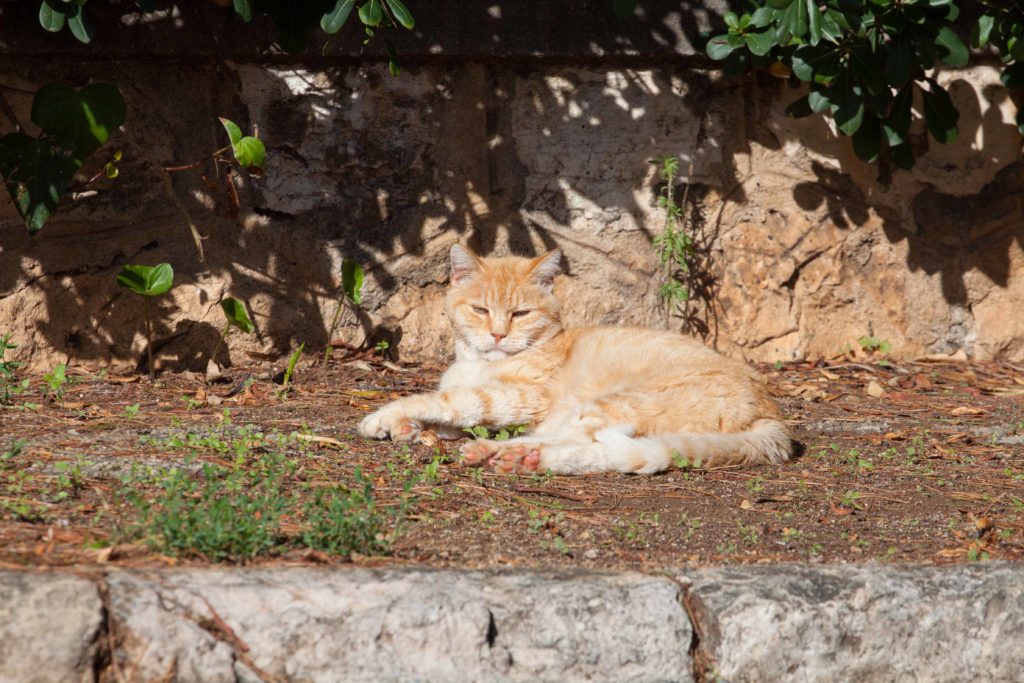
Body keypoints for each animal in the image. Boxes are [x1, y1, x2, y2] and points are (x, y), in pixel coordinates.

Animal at [356, 245, 794, 475]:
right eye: (480, 310)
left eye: (520, 314)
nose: (498, 334)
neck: (477, 361)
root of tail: (772, 414)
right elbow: (448, 414)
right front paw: (410, 428)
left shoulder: (523, 398)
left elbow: (452, 401)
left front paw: (386, 417)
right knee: (595, 453)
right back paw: (518, 458)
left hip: (612, 403)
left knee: (581, 439)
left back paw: (504, 452)